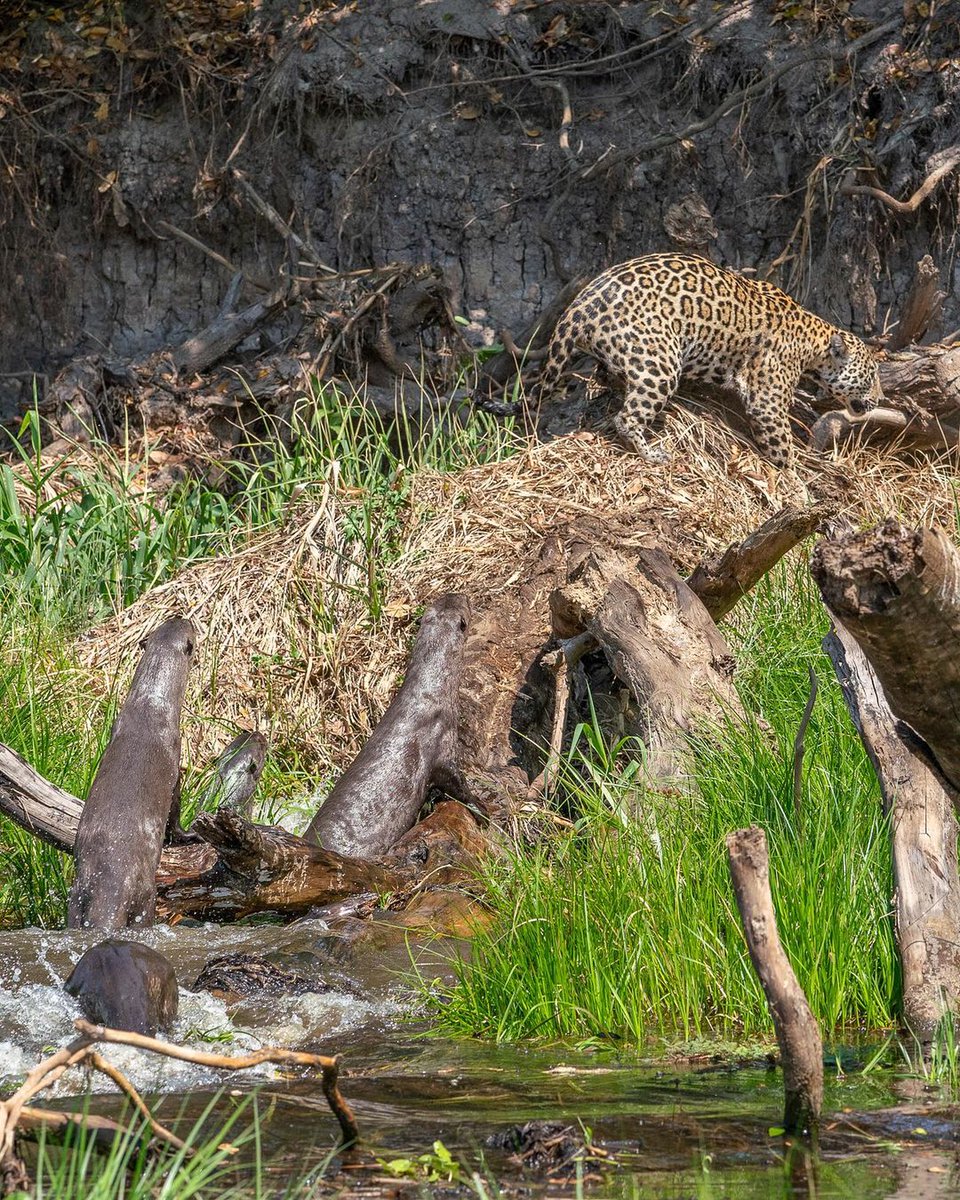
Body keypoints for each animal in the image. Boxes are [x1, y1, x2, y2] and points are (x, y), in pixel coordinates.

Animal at [67, 618, 196, 930]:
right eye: (189, 628)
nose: (183, 615)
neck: (150, 704)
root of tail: (111, 880)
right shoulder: (176, 759)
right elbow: (175, 814)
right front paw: (190, 833)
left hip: (77, 894)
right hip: (145, 893)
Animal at [537, 252, 883, 469]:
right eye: (871, 377)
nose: (880, 399)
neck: (813, 340)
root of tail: (580, 305)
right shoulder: (766, 402)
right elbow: (783, 448)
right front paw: (798, 482)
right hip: (660, 366)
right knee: (626, 418)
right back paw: (653, 454)